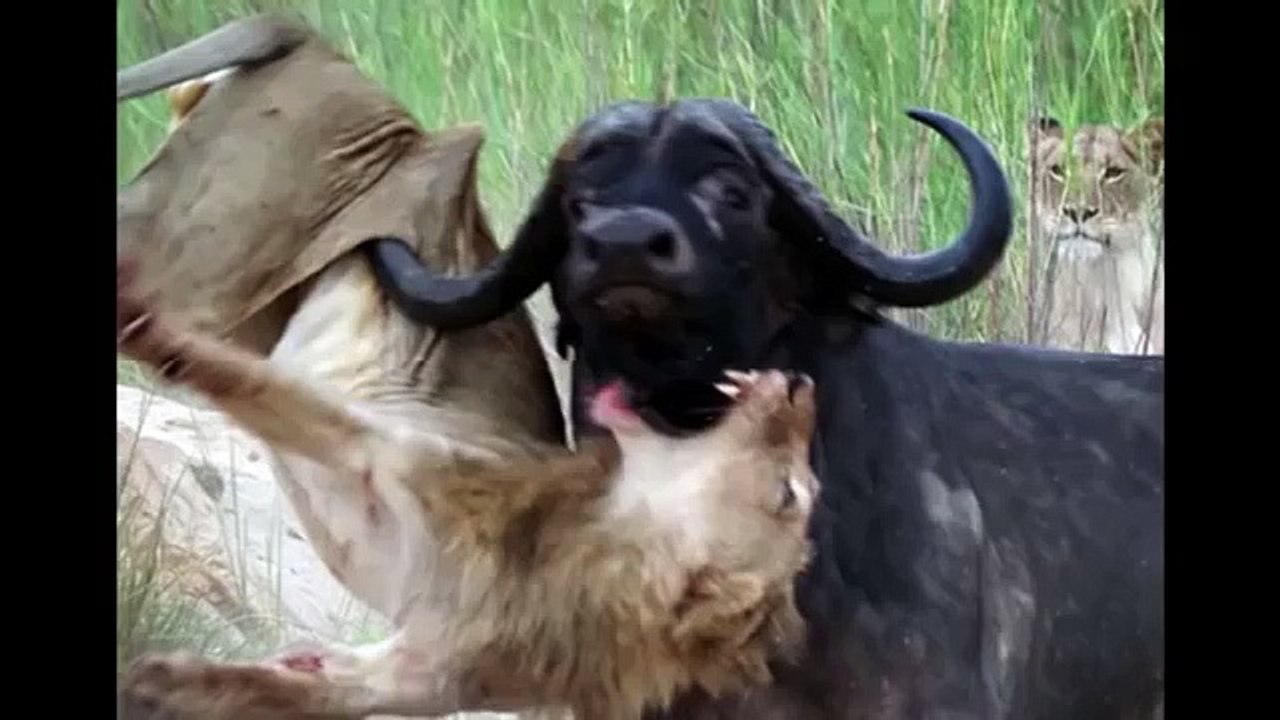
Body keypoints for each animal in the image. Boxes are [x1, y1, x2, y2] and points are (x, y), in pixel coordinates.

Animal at [115, 261, 818, 720]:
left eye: (792, 494)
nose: (803, 387)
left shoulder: (423, 677)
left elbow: (284, 692)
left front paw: (162, 683)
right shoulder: (388, 449)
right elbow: (229, 373)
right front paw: (137, 320)